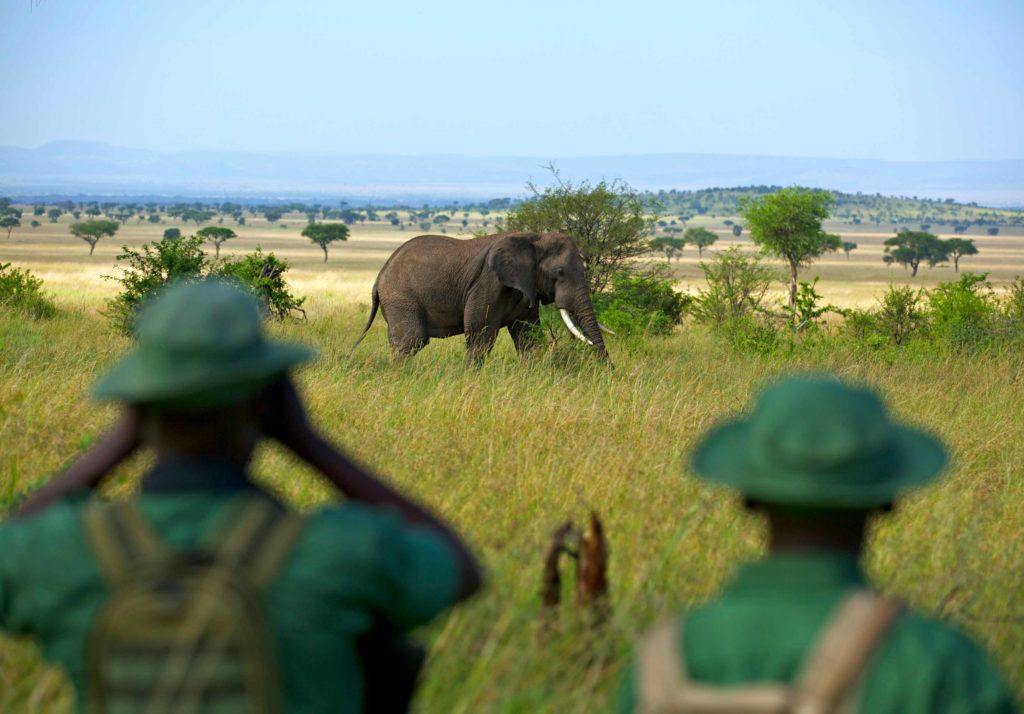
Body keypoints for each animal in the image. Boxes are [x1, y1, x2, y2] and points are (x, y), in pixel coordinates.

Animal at [354, 231, 606, 362]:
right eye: (559, 272)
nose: (609, 371)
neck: (533, 238)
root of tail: (379, 277)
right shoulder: (488, 283)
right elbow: (480, 334)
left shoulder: (525, 288)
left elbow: (529, 336)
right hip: (400, 297)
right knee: (411, 341)